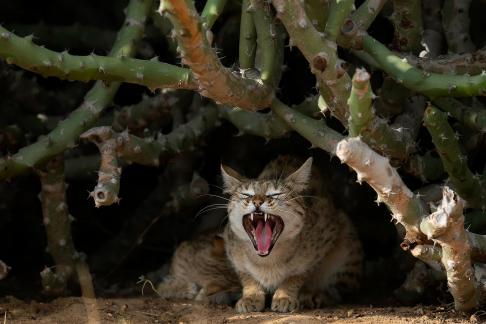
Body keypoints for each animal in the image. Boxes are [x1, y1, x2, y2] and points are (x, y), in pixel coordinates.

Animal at [222, 156, 362, 312]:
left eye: (275, 194)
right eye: (247, 195)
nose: (257, 201)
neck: (267, 262)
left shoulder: (325, 235)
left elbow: (298, 273)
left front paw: (284, 296)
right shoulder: (231, 247)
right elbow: (246, 275)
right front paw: (251, 296)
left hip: (347, 244)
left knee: (340, 290)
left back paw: (316, 296)